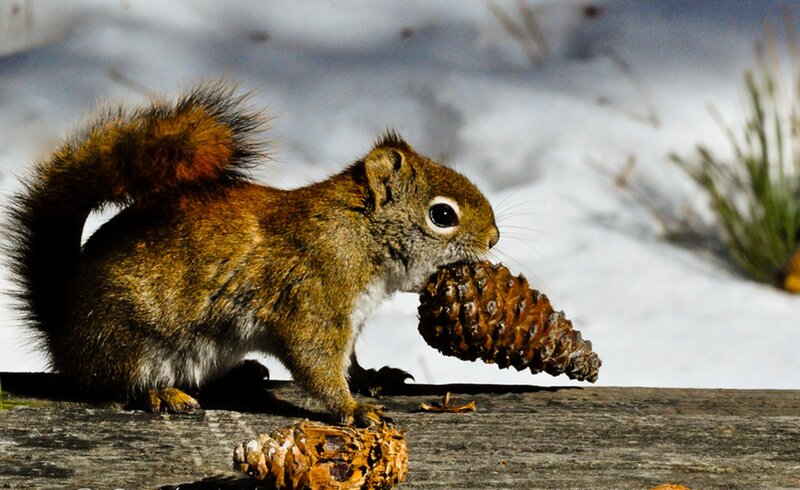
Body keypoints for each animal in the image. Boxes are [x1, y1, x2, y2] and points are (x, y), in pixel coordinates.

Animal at [6, 83, 499, 426]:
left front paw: (372, 378)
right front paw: (353, 409)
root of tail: (62, 335)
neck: (358, 234)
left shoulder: (350, 318)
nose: (494, 239)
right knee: (117, 383)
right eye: (441, 214)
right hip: (126, 339)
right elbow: (317, 364)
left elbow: (349, 361)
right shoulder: (313, 299)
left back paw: (240, 372)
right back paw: (161, 394)